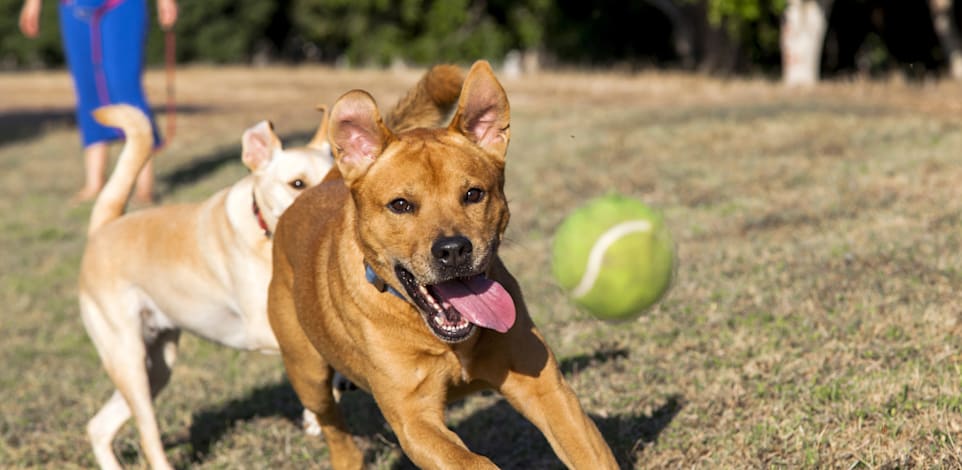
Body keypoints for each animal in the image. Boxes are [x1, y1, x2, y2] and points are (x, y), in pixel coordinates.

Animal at [268, 60, 616, 468]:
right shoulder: (413, 420)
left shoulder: (546, 388)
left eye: (473, 194)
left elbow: (588, 452)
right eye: (401, 204)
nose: (453, 250)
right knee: (333, 426)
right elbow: (473, 461)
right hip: (307, 373)